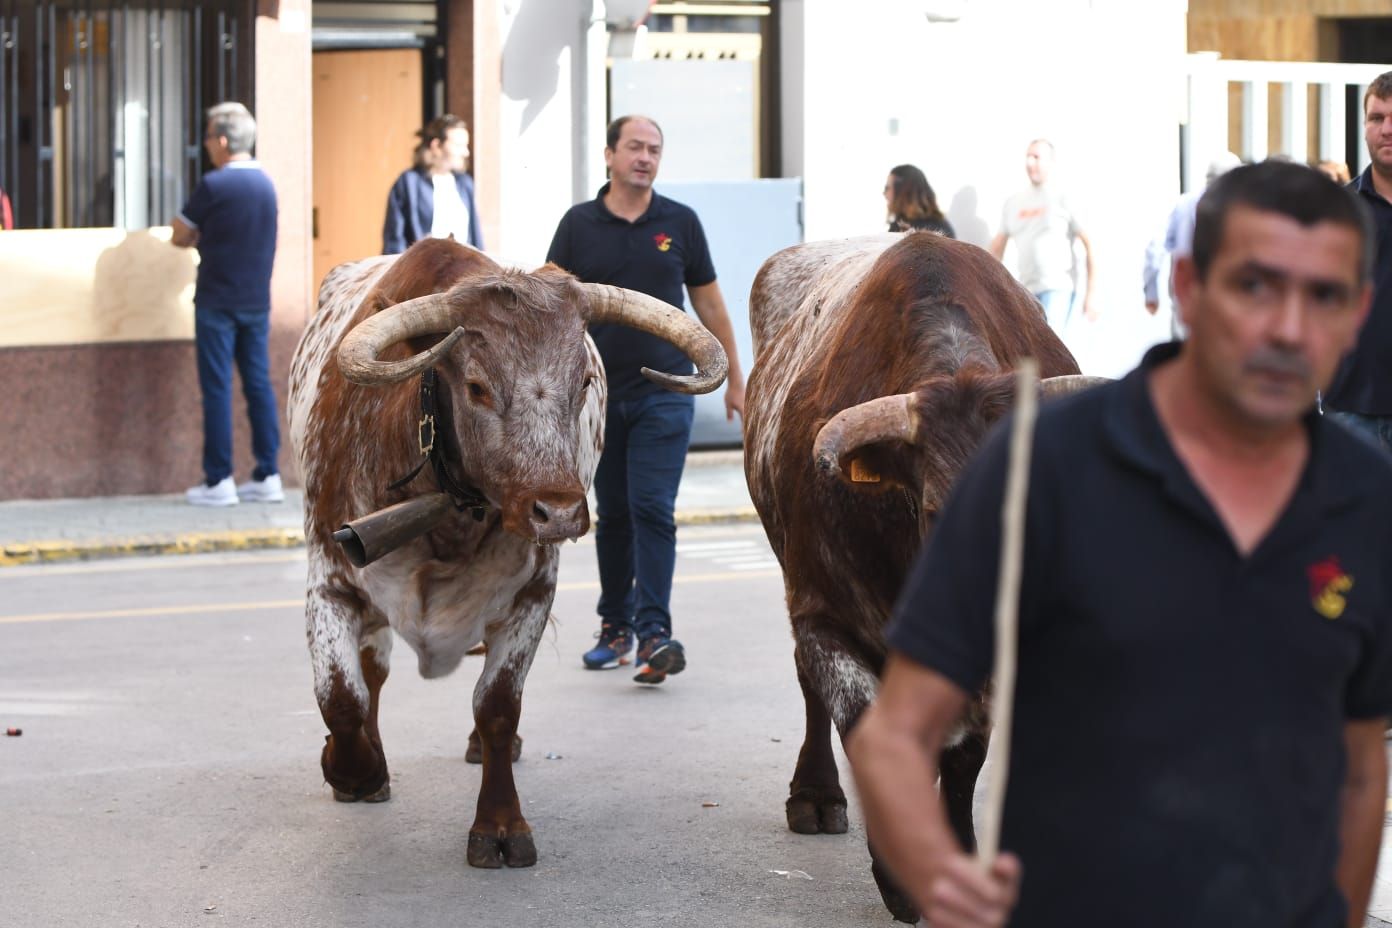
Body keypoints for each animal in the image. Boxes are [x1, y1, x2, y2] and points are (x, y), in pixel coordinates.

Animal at [285, 237, 729, 873]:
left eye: (584, 382)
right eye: (476, 387)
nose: (559, 511)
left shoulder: (531, 594)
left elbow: (496, 706)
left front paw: (499, 824)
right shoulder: (331, 579)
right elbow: (342, 697)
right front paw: (354, 770)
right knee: (371, 674)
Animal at [746, 230, 1091, 923]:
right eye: (938, 510)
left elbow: (964, 757)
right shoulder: (822, 615)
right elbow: (862, 721)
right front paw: (900, 876)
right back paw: (816, 795)